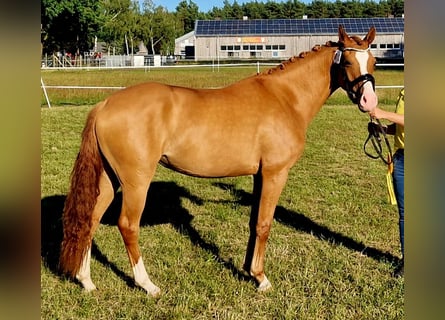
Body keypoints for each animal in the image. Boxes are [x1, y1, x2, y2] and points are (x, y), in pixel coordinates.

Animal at [59, 26, 374, 296]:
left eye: (371, 60)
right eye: (347, 61)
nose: (369, 101)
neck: (285, 97)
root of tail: (105, 105)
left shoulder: (259, 175)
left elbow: (253, 222)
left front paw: (248, 270)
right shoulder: (275, 173)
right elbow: (264, 224)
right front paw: (261, 279)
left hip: (108, 179)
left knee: (90, 220)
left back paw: (86, 280)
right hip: (136, 181)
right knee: (127, 225)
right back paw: (147, 284)